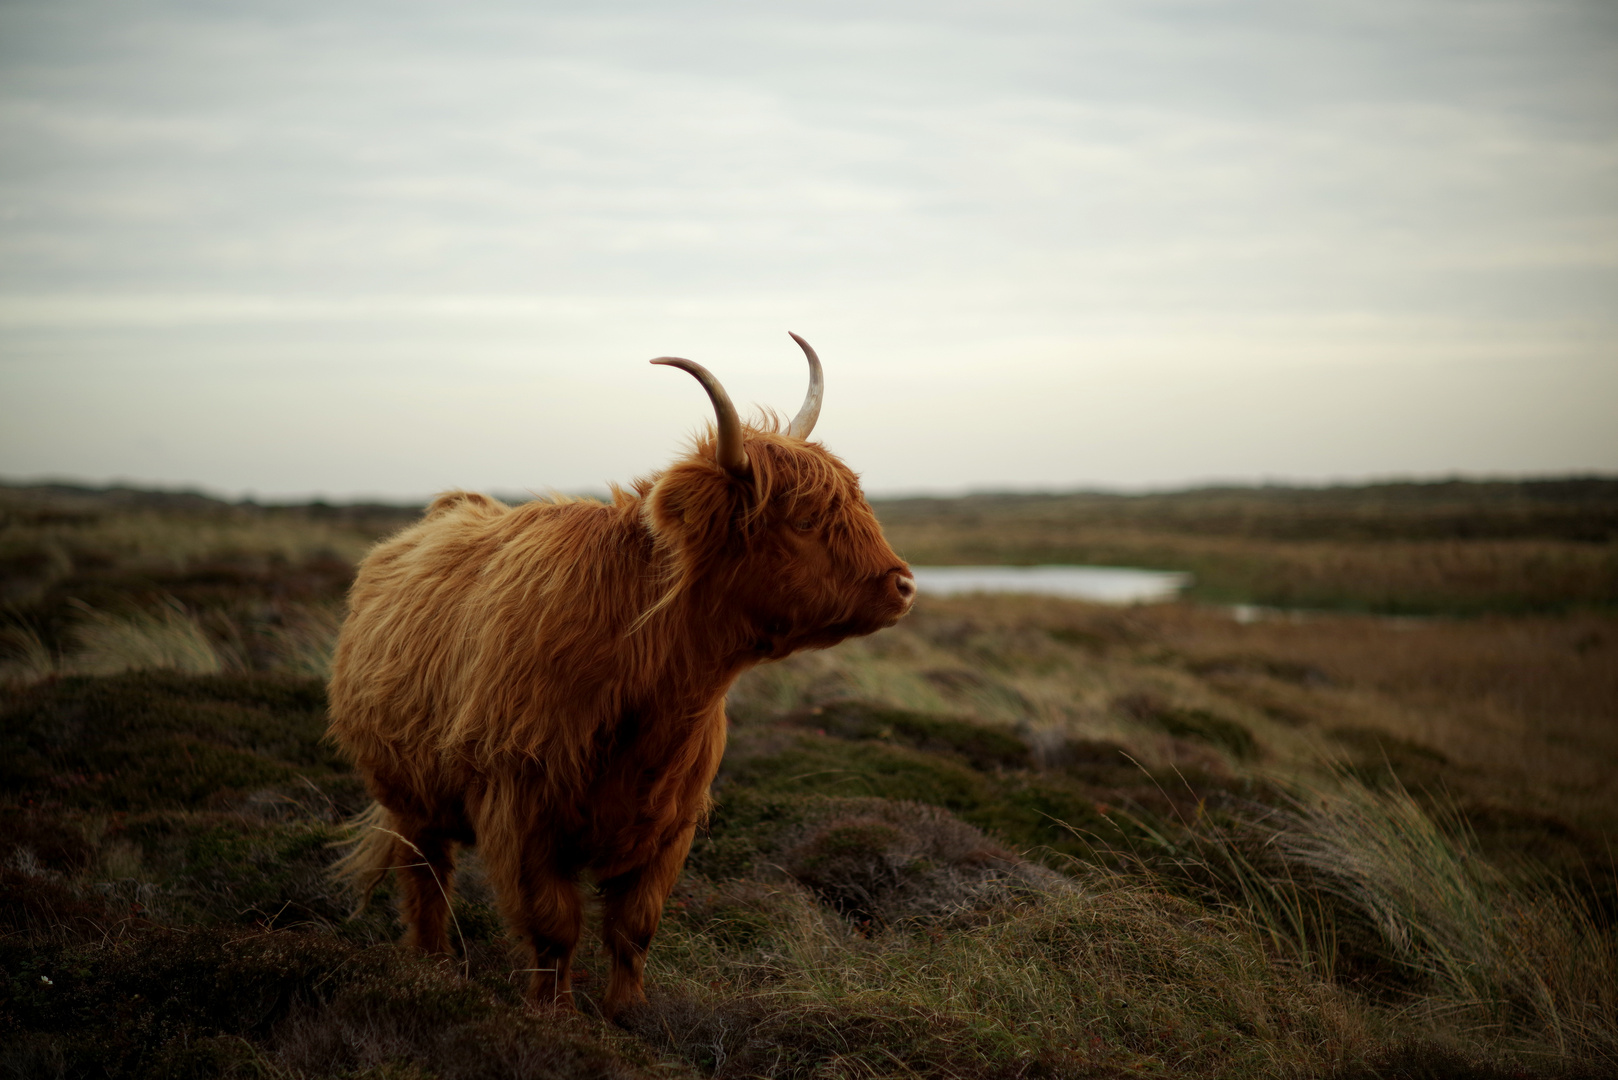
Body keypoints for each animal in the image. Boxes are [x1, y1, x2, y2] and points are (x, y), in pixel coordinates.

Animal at [321, 335, 919, 1023]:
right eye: (801, 520)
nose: (904, 584)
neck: (652, 688)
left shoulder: (672, 823)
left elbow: (634, 926)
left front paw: (629, 1012)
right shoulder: (521, 808)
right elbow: (553, 925)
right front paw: (554, 1014)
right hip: (407, 793)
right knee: (425, 879)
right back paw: (432, 968)